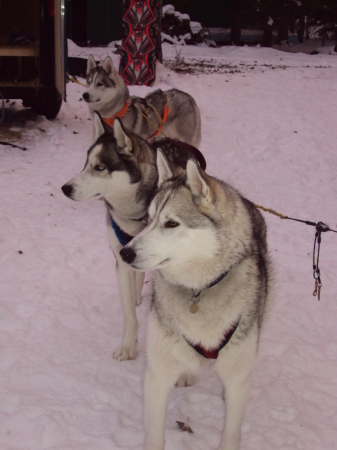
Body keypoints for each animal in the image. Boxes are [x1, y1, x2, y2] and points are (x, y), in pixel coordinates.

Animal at [61, 115, 202, 362]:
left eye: (100, 167)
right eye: (85, 164)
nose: (65, 188)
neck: (135, 215)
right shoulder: (121, 258)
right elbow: (128, 312)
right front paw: (128, 346)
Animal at [119, 151, 272, 450]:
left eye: (171, 223)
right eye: (149, 219)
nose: (125, 253)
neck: (198, 291)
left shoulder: (237, 373)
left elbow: (231, 431)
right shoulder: (158, 374)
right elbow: (154, 436)